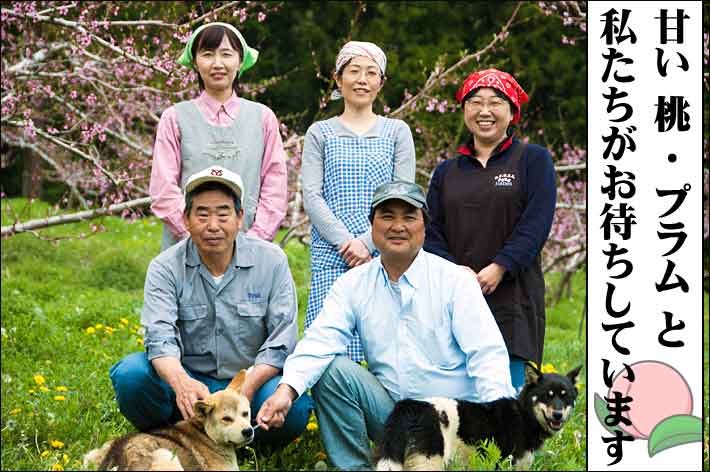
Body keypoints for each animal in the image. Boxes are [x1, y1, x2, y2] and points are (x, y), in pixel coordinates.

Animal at [85, 370, 254, 470]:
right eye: (226, 419)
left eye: (245, 413)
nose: (248, 431)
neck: (206, 433)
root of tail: (121, 458)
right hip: (167, 456)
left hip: (92, 454)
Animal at [376, 362, 580, 468]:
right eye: (547, 395)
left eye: (566, 397)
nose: (558, 415)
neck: (524, 416)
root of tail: (409, 406)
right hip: (429, 461)